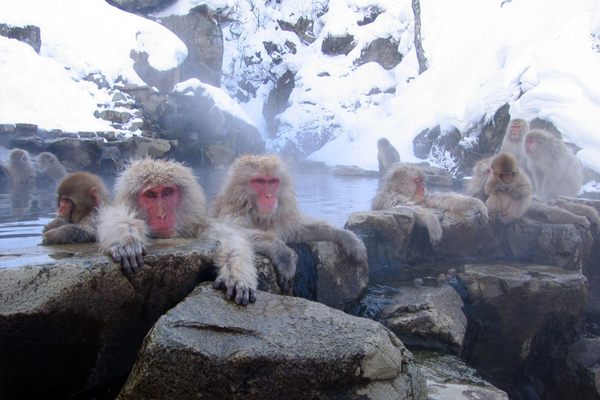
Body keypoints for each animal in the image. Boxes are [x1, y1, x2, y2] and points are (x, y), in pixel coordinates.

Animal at [96, 158, 258, 304]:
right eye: (150, 195)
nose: (162, 215)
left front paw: (236, 277)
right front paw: (127, 240)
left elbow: (229, 239)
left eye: (167, 192)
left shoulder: (199, 227)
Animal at [211, 152, 370, 288]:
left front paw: (346, 236)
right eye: (259, 181)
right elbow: (226, 231)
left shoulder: (280, 216)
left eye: (273, 182)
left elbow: (298, 231)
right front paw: (282, 253)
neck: (258, 214)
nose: (269, 196)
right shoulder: (233, 212)